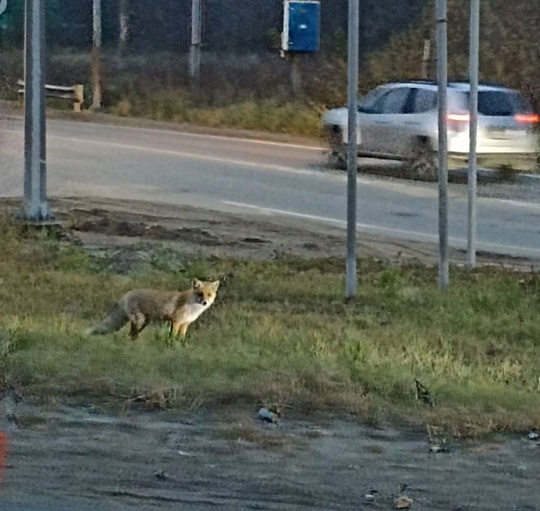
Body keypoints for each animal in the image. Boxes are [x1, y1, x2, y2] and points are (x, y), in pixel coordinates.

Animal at [86, 278, 219, 342]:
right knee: (132, 333)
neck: (192, 307)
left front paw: (180, 345)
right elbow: (172, 335)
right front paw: (171, 344)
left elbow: (181, 337)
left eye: (209, 295)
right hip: (138, 320)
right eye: (200, 294)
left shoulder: (185, 324)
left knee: (133, 334)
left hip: (145, 322)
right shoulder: (175, 321)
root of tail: (125, 295)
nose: (205, 302)